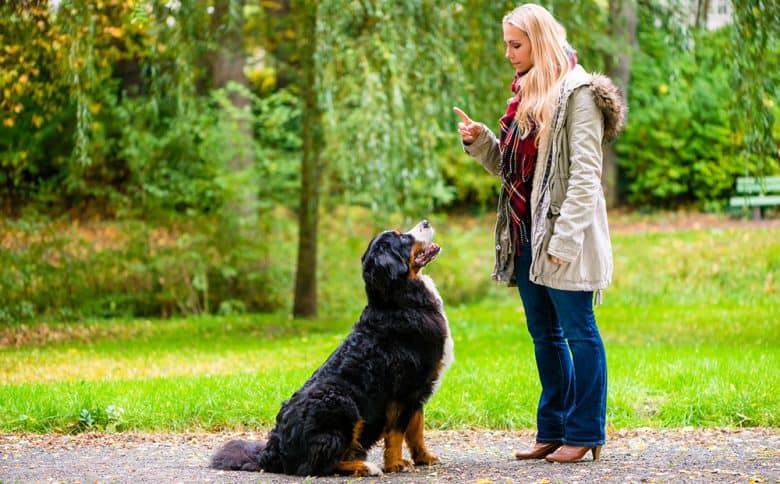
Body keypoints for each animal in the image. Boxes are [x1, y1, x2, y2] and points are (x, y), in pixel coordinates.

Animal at [210, 221, 454, 478]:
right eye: (403, 238)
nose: (426, 222)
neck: (400, 301)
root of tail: (273, 450)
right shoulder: (405, 390)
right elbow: (397, 432)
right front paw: (396, 464)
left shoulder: (419, 390)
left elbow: (416, 430)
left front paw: (424, 458)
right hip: (341, 402)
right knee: (317, 465)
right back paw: (365, 466)